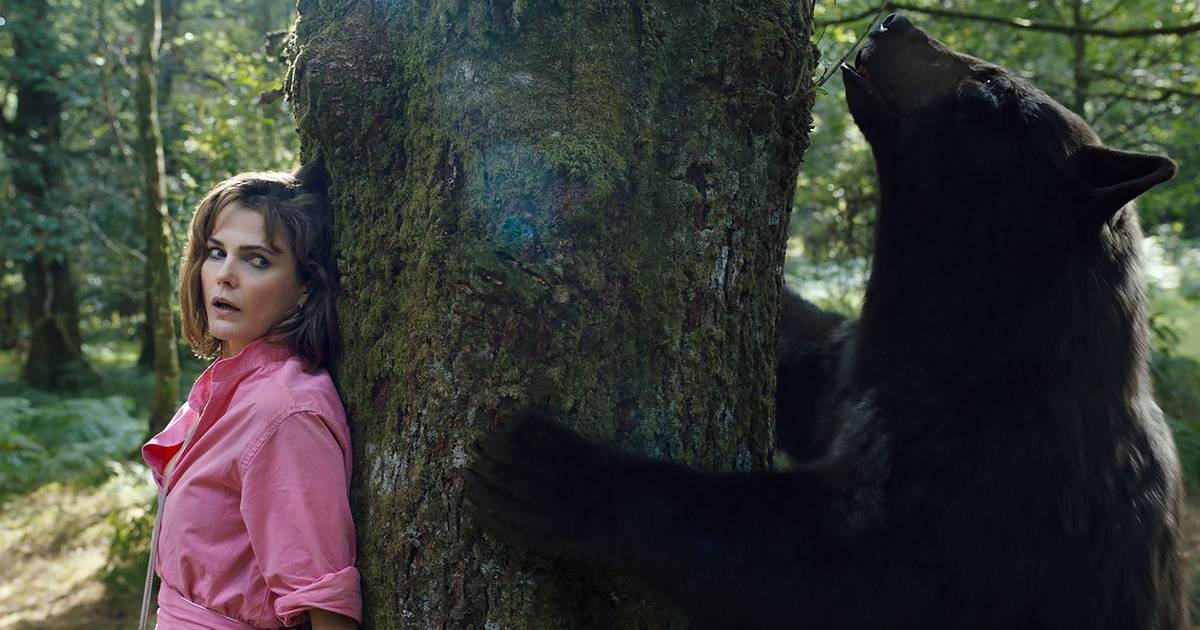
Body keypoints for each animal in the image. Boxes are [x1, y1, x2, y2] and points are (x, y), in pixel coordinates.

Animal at [465, 14, 1184, 630]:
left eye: (991, 93)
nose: (893, 20)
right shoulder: (860, 370)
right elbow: (809, 360)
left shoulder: (991, 487)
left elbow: (819, 569)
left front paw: (558, 472)